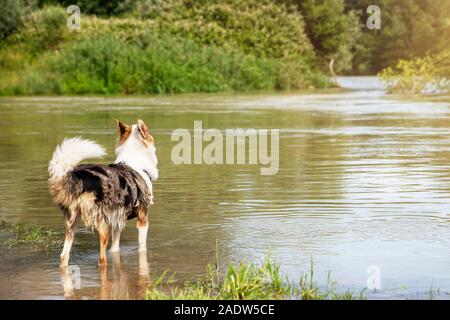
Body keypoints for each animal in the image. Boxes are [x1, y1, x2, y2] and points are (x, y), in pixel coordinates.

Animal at [48, 119, 158, 266]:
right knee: (101, 257)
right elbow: (142, 248)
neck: (135, 161)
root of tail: (78, 176)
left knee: (64, 255)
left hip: (71, 223)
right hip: (102, 224)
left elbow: (115, 249)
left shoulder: (118, 221)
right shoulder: (143, 218)